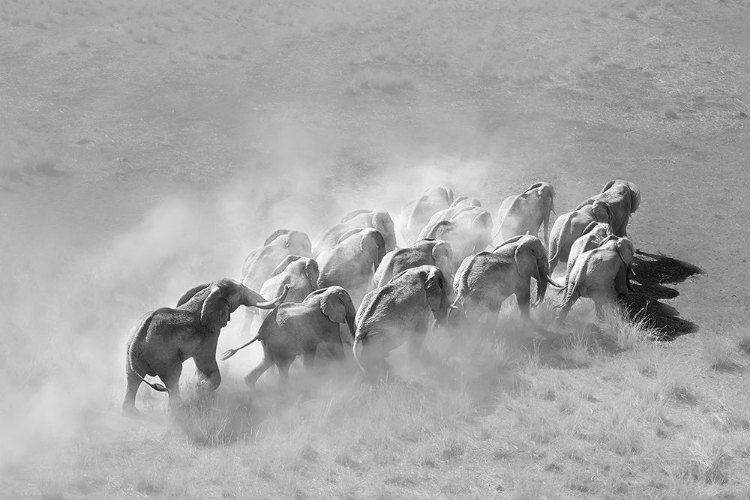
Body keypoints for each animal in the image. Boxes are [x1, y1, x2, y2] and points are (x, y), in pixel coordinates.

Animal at [122, 278, 290, 414]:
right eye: (240, 291)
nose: (287, 286)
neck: (207, 294)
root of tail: (138, 338)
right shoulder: (209, 334)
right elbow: (206, 362)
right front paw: (202, 392)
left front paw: (199, 389)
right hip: (164, 356)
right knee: (172, 377)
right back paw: (178, 412)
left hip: (134, 353)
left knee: (132, 378)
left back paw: (131, 414)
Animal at [222, 288, 360, 388]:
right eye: (350, 301)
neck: (323, 294)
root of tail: (261, 331)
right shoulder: (327, 322)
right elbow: (334, 346)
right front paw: (348, 369)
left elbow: (311, 352)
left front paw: (309, 378)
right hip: (281, 344)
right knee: (284, 365)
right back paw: (285, 391)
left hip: (270, 344)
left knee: (267, 361)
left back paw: (250, 385)